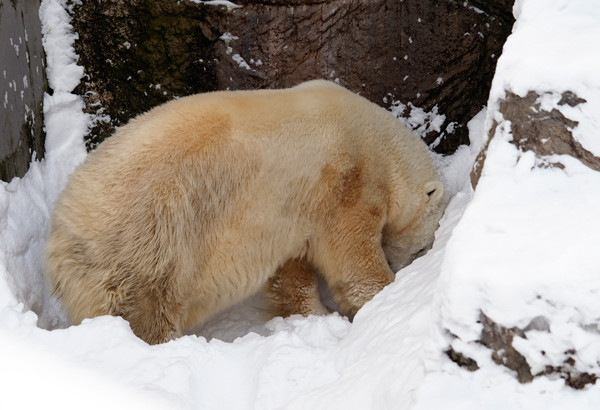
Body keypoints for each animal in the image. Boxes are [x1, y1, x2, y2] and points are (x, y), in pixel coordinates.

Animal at [45, 79, 446, 342]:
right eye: (423, 246)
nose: (409, 263)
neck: (378, 144)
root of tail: (63, 239)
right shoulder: (345, 185)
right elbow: (352, 259)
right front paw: (384, 300)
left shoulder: (291, 209)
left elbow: (291, 270)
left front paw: (310, 315)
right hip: (149, 247)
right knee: (147, 314)